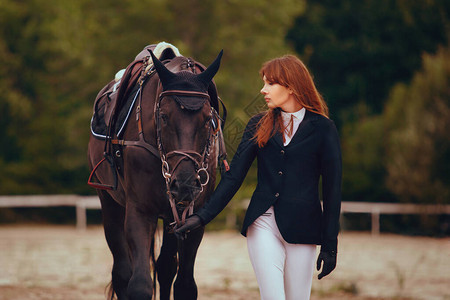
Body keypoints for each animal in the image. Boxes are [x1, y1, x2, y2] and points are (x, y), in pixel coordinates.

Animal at [88, 45, 227, 300]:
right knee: (121, 272)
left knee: (165, 267)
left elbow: (184, 285)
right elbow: (140, 285)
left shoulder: (193, 217)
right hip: (109, 203)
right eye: (163, 116)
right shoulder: (141, 211)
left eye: (208, 119)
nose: (185, 184)